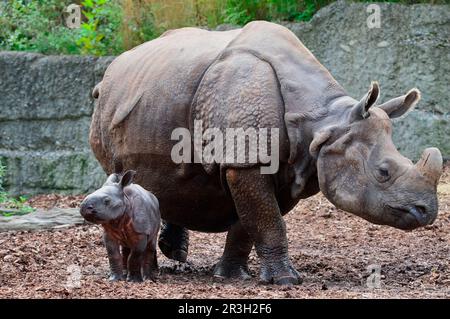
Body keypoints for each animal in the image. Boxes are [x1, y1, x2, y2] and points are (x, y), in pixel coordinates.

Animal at [90, 21, 442, 284]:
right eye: (383, 172)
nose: (427, 212)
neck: (323, 122)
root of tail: (113, 67)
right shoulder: (246, 158)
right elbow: (266, 219)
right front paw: (286, 280)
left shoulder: (289, 167)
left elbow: (250, 221)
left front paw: (231, 276)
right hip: (106, 109)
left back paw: (174, 252)